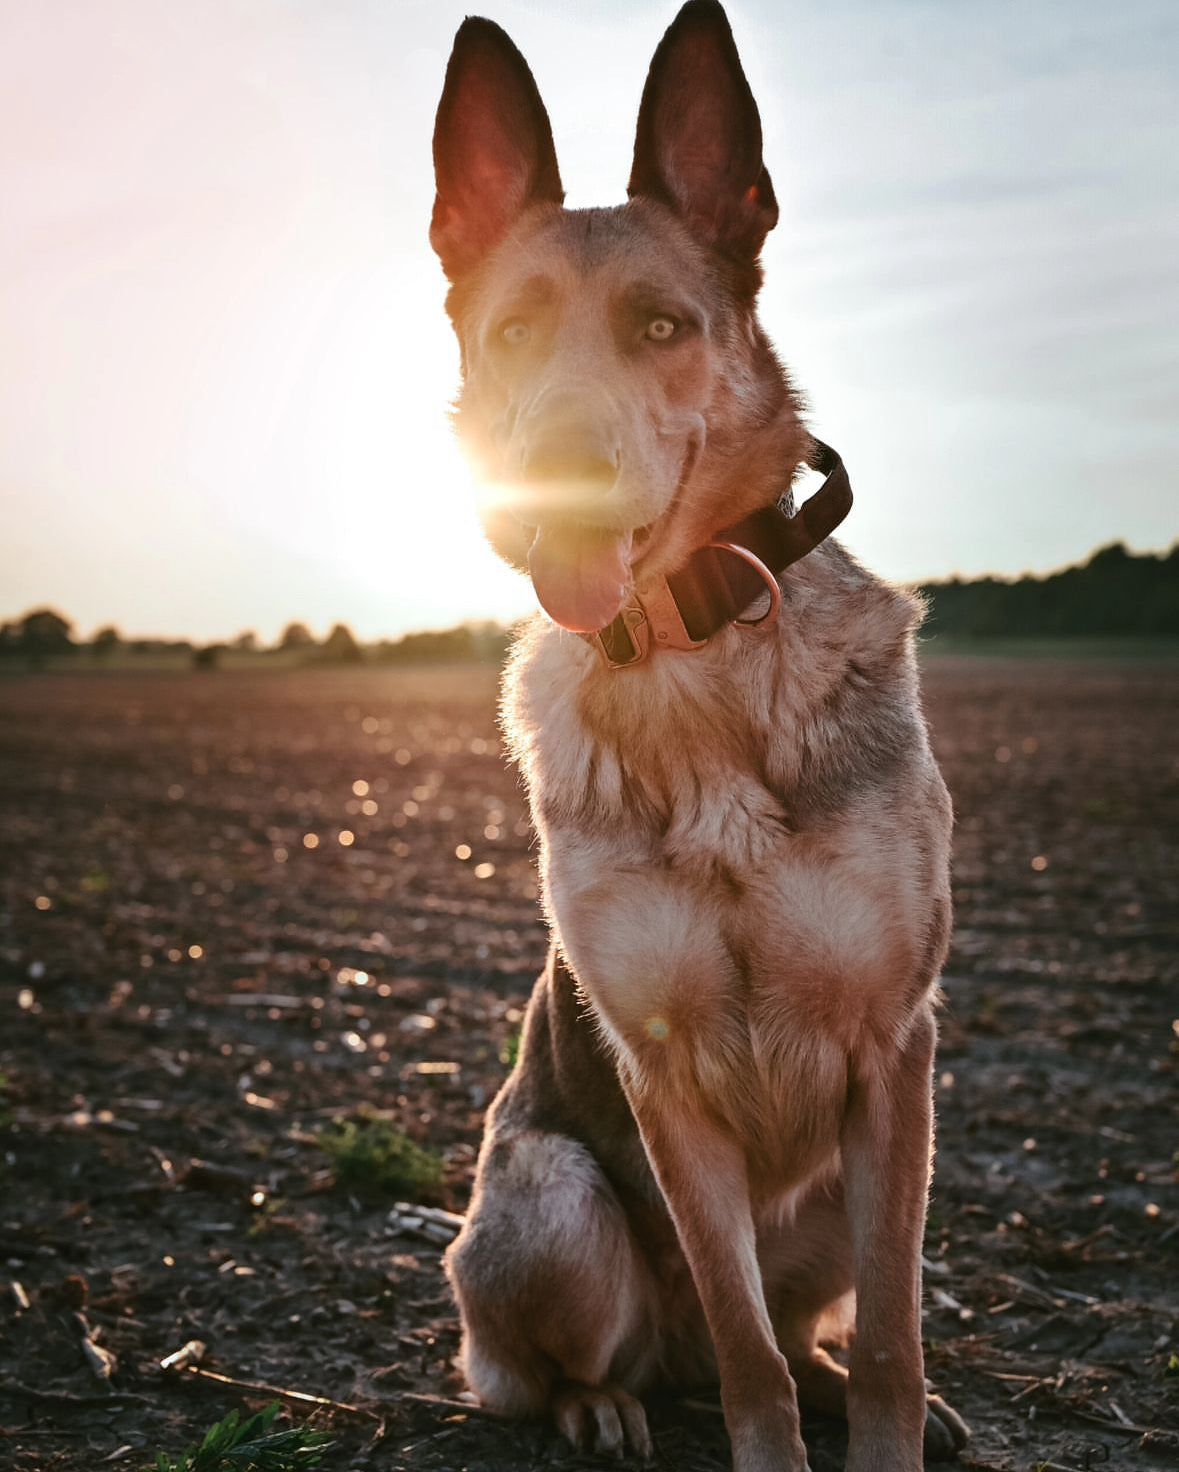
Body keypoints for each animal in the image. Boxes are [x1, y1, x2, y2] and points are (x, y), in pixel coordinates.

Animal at [426, 2, 971, 1472]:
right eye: (511, 333)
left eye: (661, 325)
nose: (548, 483)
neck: (689, 657)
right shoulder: (665, 1084)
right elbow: (743, 1356)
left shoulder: (892, 1054)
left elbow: (888, 1338)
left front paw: (885, 1421)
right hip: (552, 1201)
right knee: (590, 1357)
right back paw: (604, 1401)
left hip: (848, 1188)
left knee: (821, 1326)